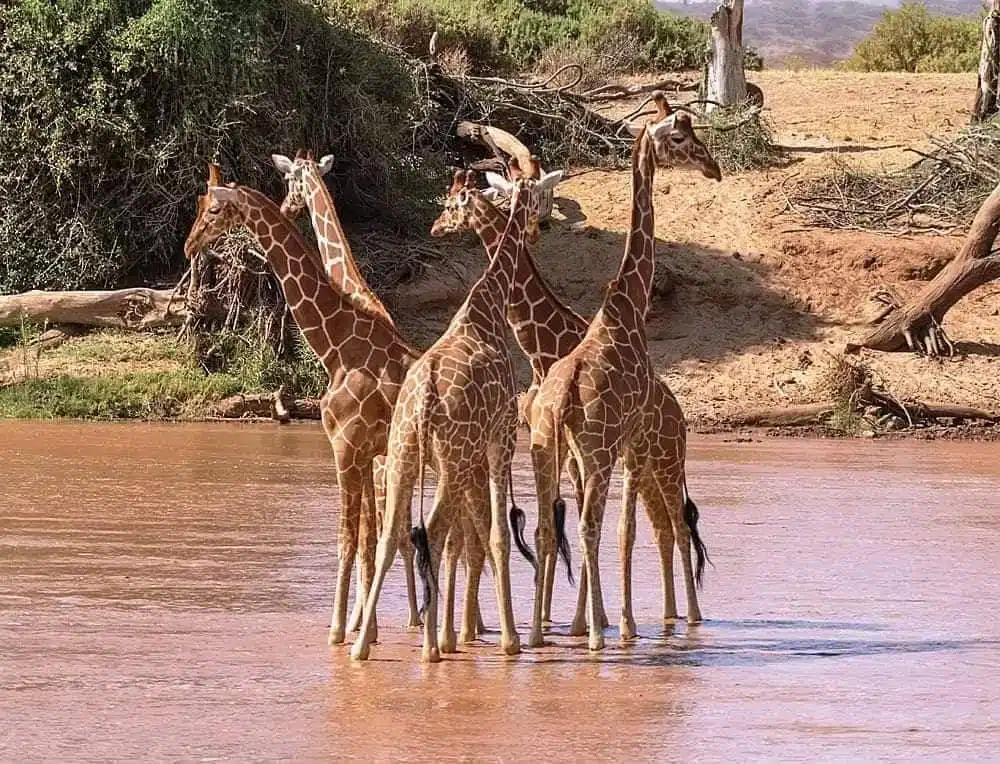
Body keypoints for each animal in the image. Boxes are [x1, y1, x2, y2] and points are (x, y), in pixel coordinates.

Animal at [183, 163, 419, 646]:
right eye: (199, 204)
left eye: (214, 210)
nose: (188, 247)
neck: (337, 346)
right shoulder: (364, 453)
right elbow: (365, 540)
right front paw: (362, 627)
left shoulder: (347, 447)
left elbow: (349, 539)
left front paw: (339, 630)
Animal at [351, 160, 554, 663]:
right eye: (535, 199)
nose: (537, 231)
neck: (488, 305)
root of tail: (424, 398)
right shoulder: (503, 437)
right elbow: (497, 534)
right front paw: (508, 640)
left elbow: (471, 536)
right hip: (455, 455)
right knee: (433, 530)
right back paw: (430, 648)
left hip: (406, 452)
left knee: (394, 535)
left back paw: (363, 646)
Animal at [528, 92, 721, 651]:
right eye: (680, 134)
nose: (714, 166)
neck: (630, 308)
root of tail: (561, 400)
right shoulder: (631, 438)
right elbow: (625, 530)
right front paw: (623, 624)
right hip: (597, 452)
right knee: (592, 527)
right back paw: (596, 634)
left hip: (546, 452)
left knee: (548, 528)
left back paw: (536, 635)